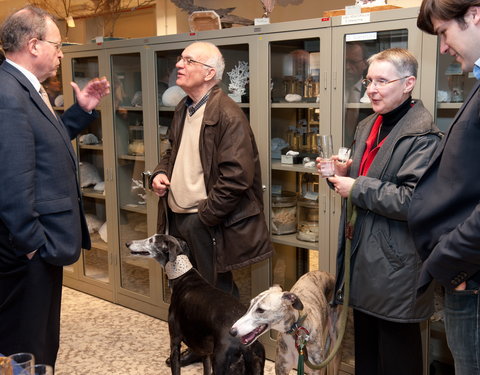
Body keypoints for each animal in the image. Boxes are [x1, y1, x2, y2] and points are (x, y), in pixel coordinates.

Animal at [125, 235, 264, 375]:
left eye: (151, 240)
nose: (127, 243)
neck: (183, 277)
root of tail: (245, 345)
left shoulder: (175, 341)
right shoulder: (205, 352)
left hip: (220, 364)